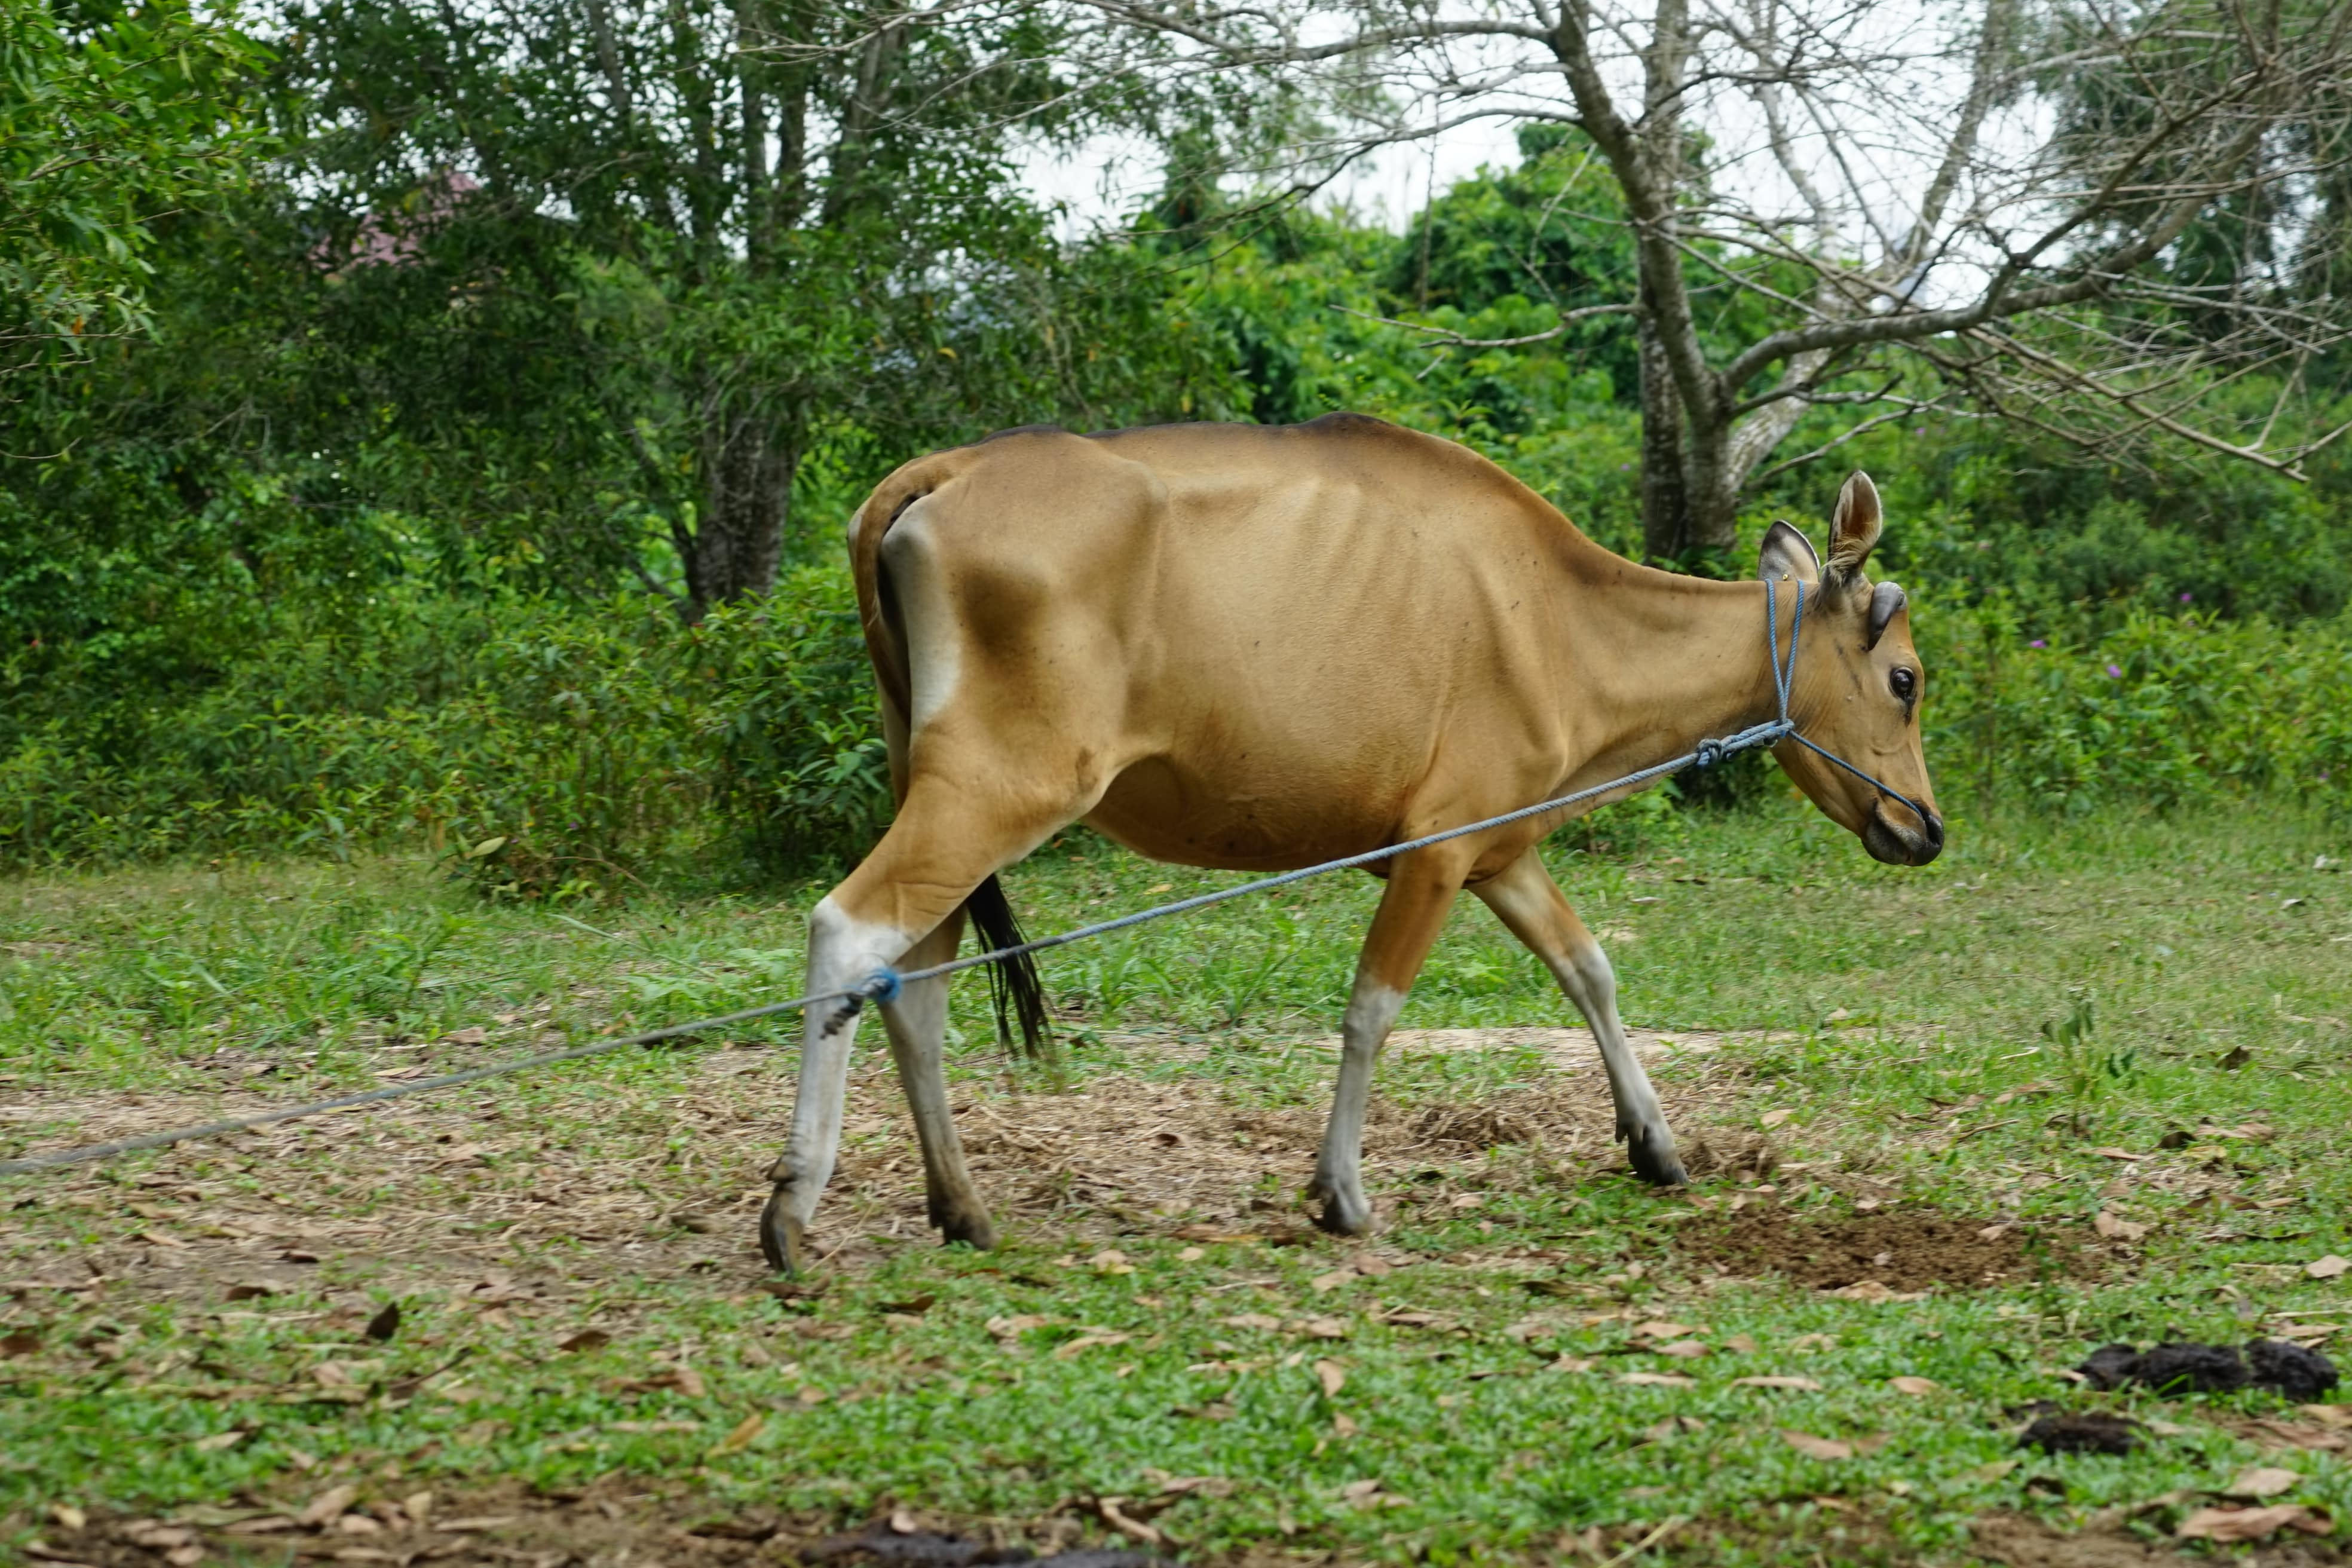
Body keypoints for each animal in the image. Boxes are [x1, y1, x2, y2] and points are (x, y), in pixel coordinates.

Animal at [762, 411, 1938, 1269]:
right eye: (1905, 679)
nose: (1923, 825)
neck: (1563, 620)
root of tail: (942, 471)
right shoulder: (1436, 851)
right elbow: (1373, 1009)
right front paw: (1341, 1192)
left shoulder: (1501, 851)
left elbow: (1590, 969)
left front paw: (1655, 1140)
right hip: (1004, 784)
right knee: (848, 931)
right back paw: (793, 1203)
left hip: (939, 785)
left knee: (913, 982)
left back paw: (960, 1204)